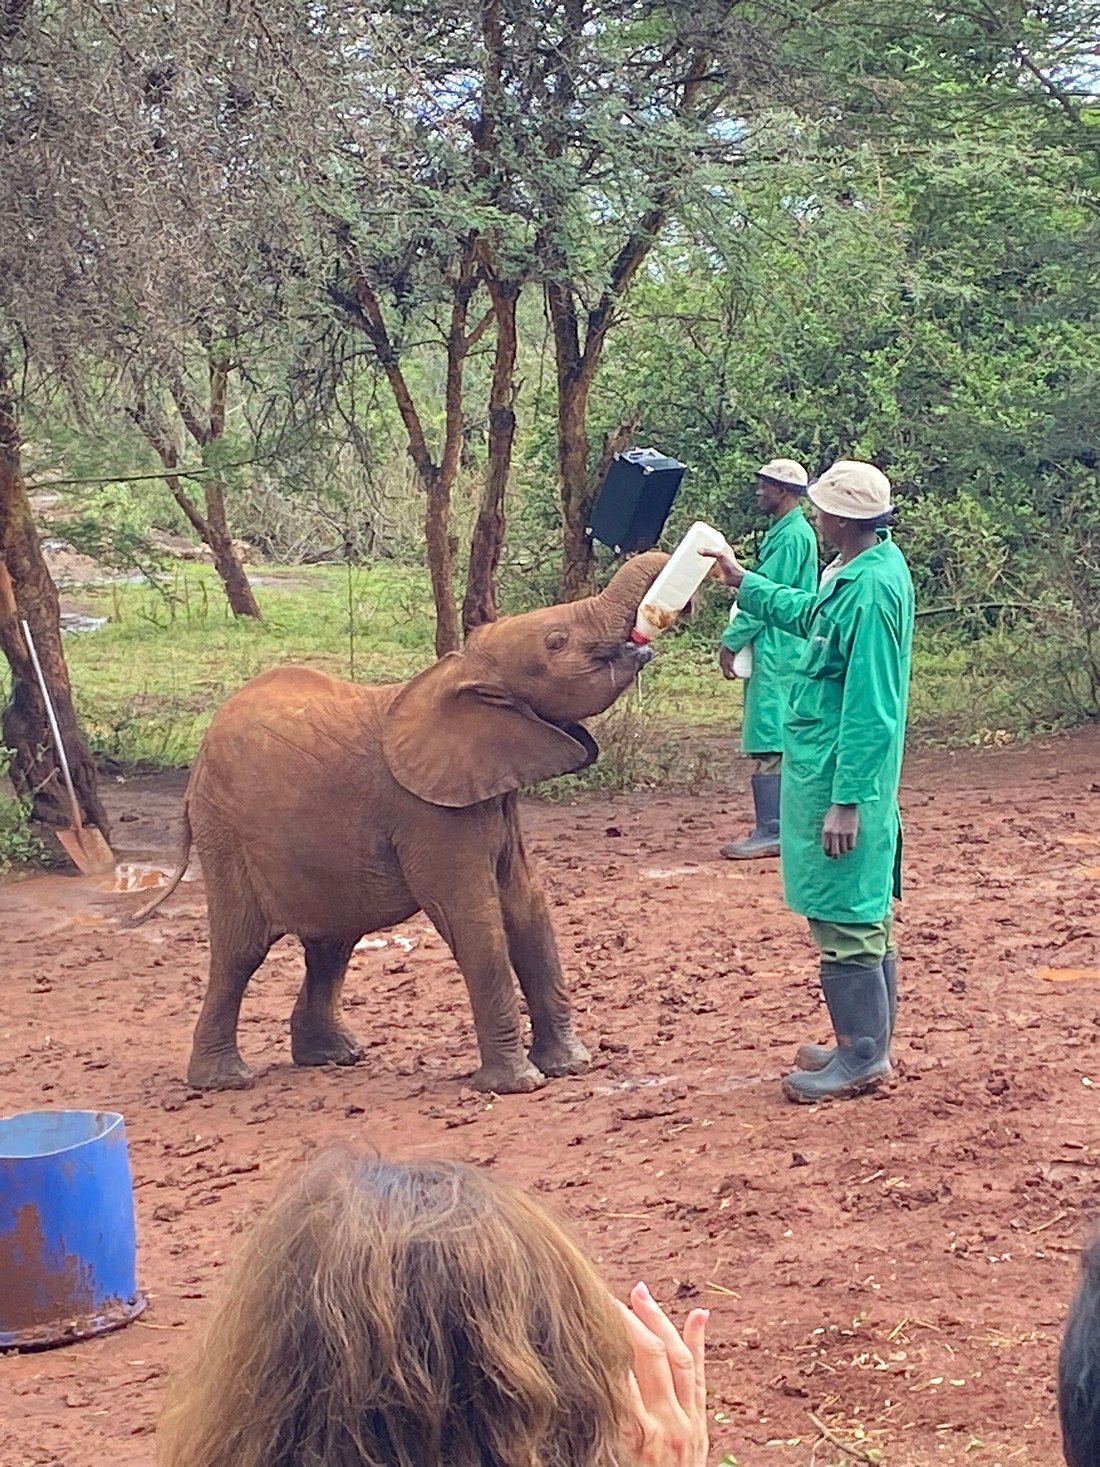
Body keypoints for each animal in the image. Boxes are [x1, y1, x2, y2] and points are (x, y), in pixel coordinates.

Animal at [129, 551, 662, 1091]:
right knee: (241, 951)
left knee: (332, 942)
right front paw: (518, 1085)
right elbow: (474, 918)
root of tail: (197, 764)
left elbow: (527, 910)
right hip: (225, 831)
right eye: (557, 642)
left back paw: (334, 1056)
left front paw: (570, 1066)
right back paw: (225, 1080)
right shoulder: (428, 813)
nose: (643, 636)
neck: (461, 672)